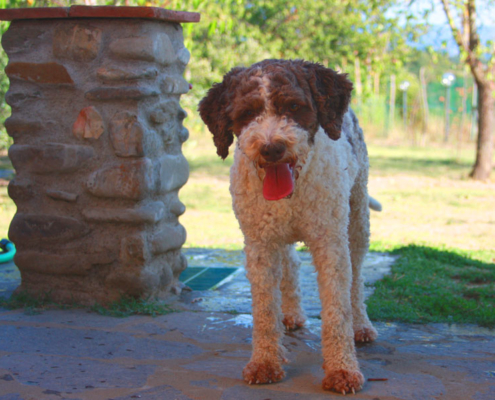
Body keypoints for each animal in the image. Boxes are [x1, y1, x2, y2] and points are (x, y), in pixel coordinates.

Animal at [200, 58, 378, 394]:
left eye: (294, 106)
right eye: (247, 113)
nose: (271, 148)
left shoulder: (330, 243)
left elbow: (337, 309)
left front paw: (342, 369)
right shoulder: (259, 244)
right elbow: (264, 310)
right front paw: (265, 363)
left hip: (358, 217)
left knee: (358, 275)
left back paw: (362, 324)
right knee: (291, 263)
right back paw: (292, 312)